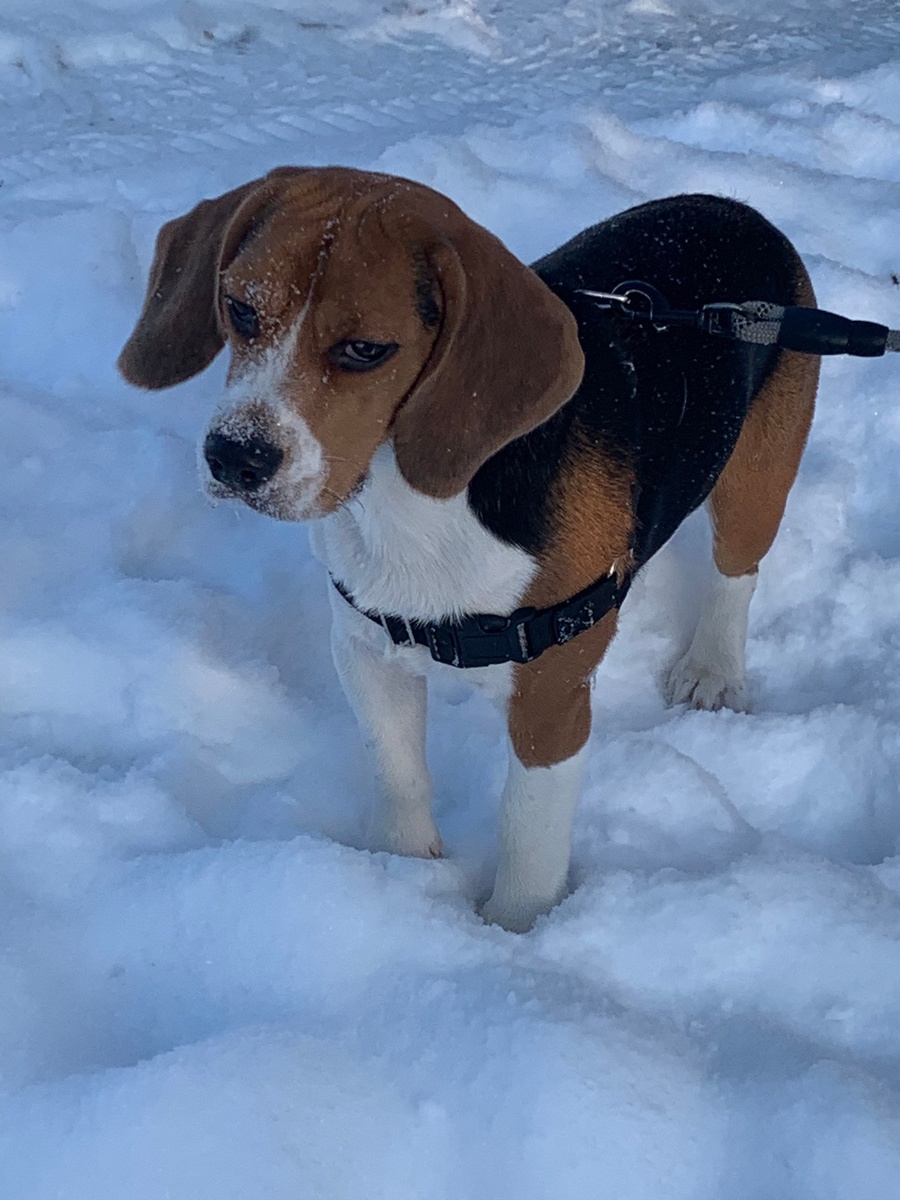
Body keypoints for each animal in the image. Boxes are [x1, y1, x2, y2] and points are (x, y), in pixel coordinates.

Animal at [119, 167, 818, 931]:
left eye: (365, 350)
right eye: (240, 310)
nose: (235, 457)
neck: (417, 505)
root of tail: (735, 209)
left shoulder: (551, 699)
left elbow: (527, 829)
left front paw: (514, 931)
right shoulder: (366, 649)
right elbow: (397, 772)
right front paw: (400, 875)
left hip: (756, 476)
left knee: (736, 572)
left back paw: (713, 669)